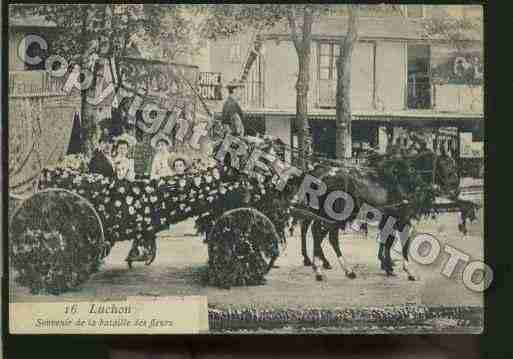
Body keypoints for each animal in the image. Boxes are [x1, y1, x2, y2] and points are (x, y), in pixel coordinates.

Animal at [288, 150, 464, 282]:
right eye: (446, 166)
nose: (456, 188)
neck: (405, 179)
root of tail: (321, 176)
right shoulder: (402, 219)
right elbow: (404, 243)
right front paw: (408, 271)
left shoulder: (389, 218)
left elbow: (387, 241)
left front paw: (388, 266)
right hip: (334, 216)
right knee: (323, 235)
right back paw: (335, 269)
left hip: (324, 214)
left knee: (317, 232)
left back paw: (322, 265)